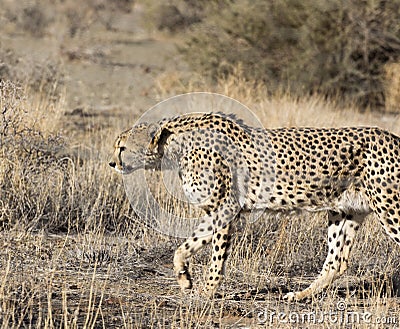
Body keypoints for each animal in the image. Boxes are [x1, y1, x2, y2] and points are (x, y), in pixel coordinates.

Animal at [108, 112, 400, 300]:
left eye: (122, 147)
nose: (112, 163)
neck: (174, 146)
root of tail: (393, 137)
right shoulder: (214, 211)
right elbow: (184, 247)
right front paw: (184, 278)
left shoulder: (225, 209)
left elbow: (216, 257)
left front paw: (207, 291)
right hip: (345, 210)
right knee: (336, 262)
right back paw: (299, 295)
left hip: (390, 209)